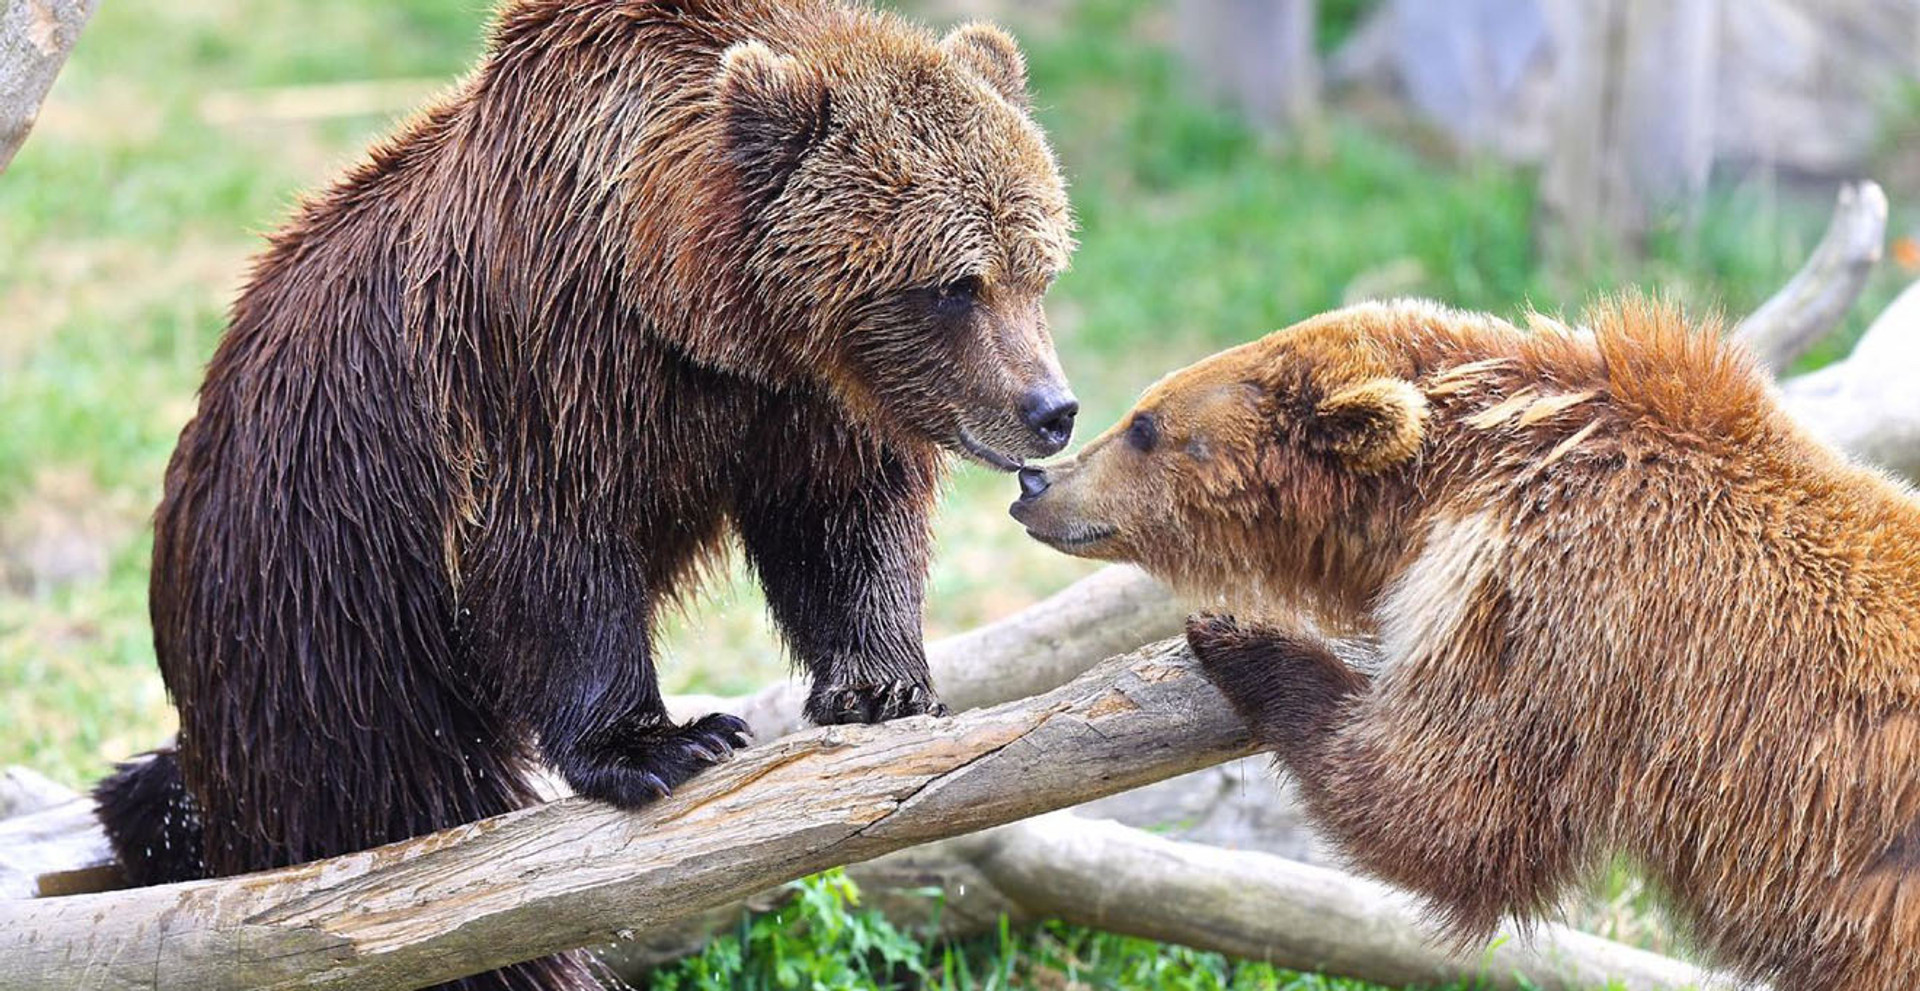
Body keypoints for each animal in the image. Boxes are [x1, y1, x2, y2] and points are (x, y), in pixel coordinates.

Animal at [93, 3, 1082, 983]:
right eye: (954, 284)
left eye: (1037, 267)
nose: (1052, 409)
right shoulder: (545, 365)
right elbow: (555, 556)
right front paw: (670, 741)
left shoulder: (804, 406)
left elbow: (842, 526)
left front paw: (882, 687)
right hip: (320, 611)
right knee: (390, 806)